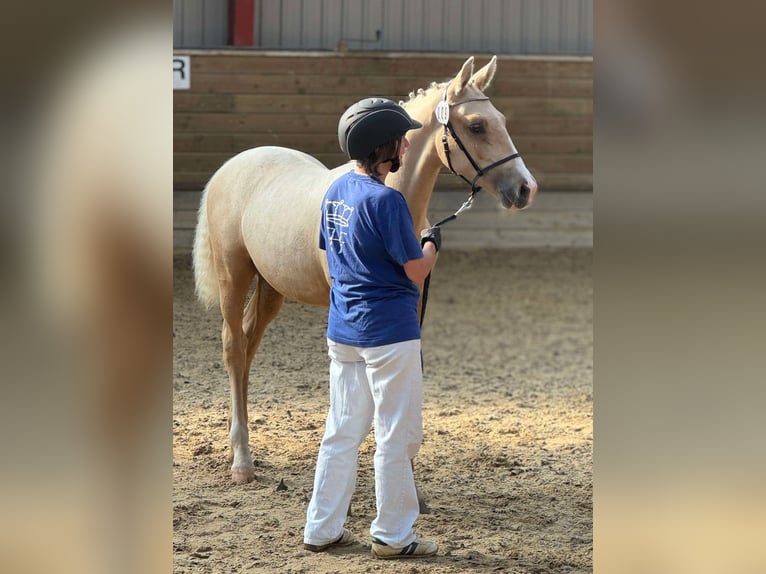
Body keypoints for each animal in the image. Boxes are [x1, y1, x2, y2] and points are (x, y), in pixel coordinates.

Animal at [194, 59, 540, 500]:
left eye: (503, 121)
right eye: (478, 126)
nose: (526, 189)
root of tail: (231, 166)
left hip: (272, 288)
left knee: (247, 347)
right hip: (233, 276)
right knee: (234, 349)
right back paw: (241, 460)